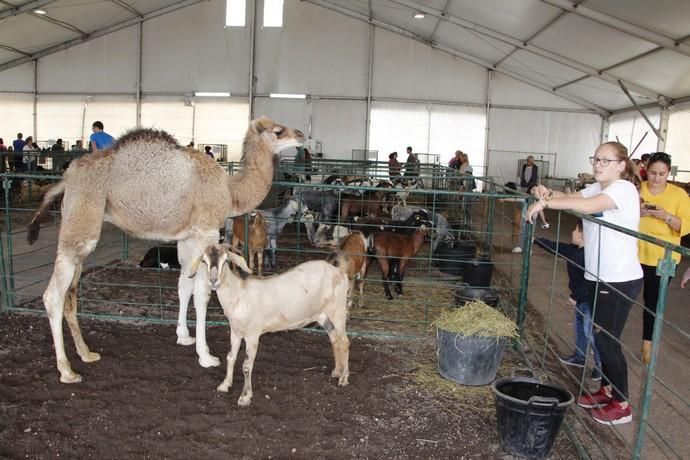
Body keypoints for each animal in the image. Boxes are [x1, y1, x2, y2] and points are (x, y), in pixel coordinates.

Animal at [27, 117, 300, 382]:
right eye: (277, 131)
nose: (300, 134)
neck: (230, 192)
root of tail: (67, 178)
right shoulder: (206, 232)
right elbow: (202, 295)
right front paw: (206, 356)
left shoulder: (187, 237)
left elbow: (184, 286)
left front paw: (184, 336)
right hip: (82, 221)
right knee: (53, 295)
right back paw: (67, 371)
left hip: (79, 228)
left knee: (70, 291)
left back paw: (87, 353)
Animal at [189, 244, 346, 406]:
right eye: (204, 261)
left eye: (226, 260)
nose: (213, 281)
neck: (238, 294)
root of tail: (339, 271)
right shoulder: (235, 331)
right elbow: (230, 357)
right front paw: (225, 385)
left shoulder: (252, 334)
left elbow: (246, 366)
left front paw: (245, 396)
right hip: (324, 316)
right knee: (335, 339)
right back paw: (337, 371)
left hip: (338, 310)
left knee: (345, 342)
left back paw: (343, 378)